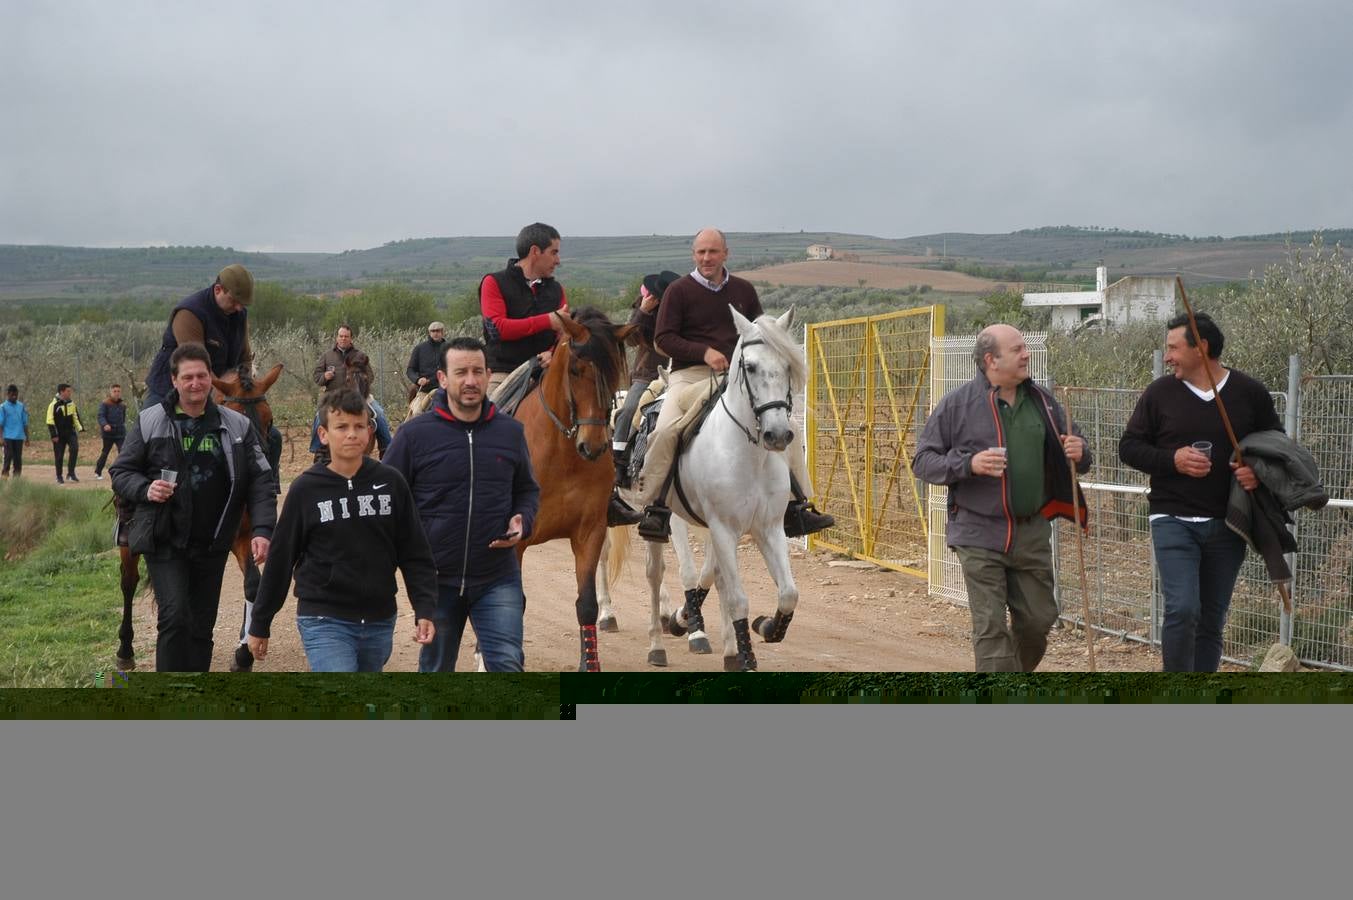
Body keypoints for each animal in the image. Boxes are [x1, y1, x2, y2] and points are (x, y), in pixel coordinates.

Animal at [115, 362, 284, 665]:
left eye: (270, 420)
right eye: (239, 416)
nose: (258, 465)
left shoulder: (242, 536)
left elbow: (253, 584)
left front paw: (244, 654)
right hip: (130, 538)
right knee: (129, 581)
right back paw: (125, 649)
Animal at [511, 307, 633, 665]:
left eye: (614, 372)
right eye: (576, 370)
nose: (592, 446)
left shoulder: (590, 532)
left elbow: (586, 605)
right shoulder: (516, 543)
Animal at [606, 307, 795, 665]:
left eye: (790, 365)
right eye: (750, 367)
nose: (778, 435)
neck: (747, 457)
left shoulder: (764, 527)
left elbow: (781, 591)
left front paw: (747, 634)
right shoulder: (700, 524)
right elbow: (706, 581)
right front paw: (698, 632)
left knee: (656, 570)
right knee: (630, 566)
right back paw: (628, 628)